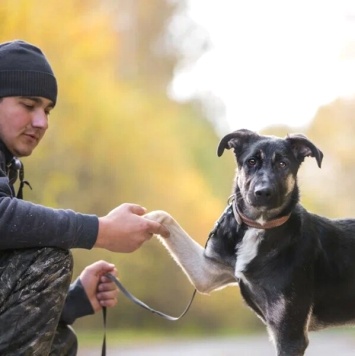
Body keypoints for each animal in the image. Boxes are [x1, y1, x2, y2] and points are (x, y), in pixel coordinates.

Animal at [145, 129, 355, 356]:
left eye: (283, 164)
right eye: (251, 161)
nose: (263, 192)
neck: (259, 226)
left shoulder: (290, 335)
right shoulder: (206, 274)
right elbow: (162, 215)